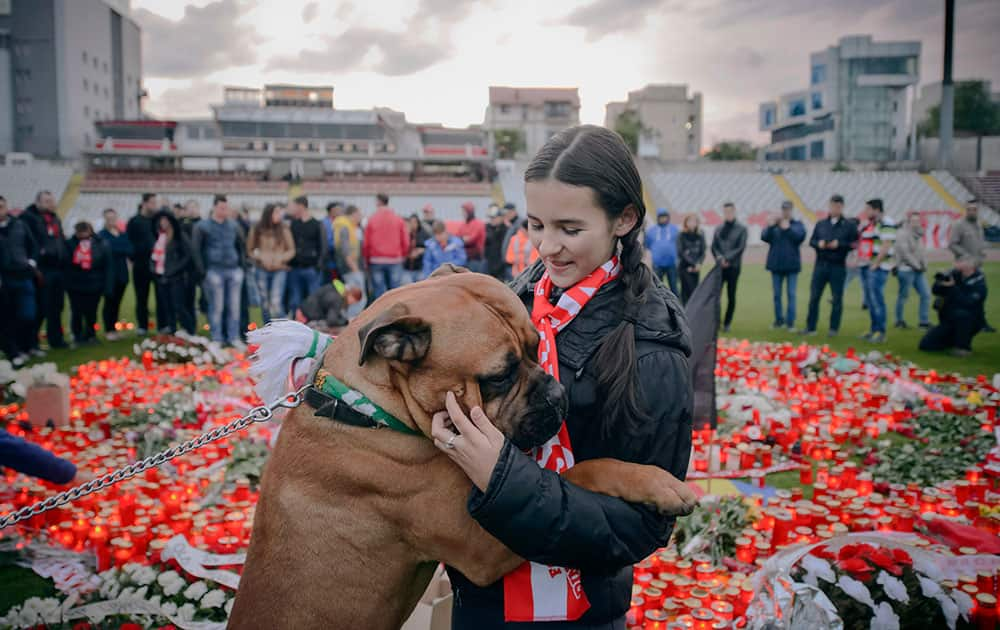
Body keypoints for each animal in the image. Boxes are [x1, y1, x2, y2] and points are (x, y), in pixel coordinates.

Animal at [229, 268, 696, 630]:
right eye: (499, 377)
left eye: (535, 347)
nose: (558, 394)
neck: (365, 406)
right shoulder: (483, 543)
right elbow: (584, 470)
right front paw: (661, 485)